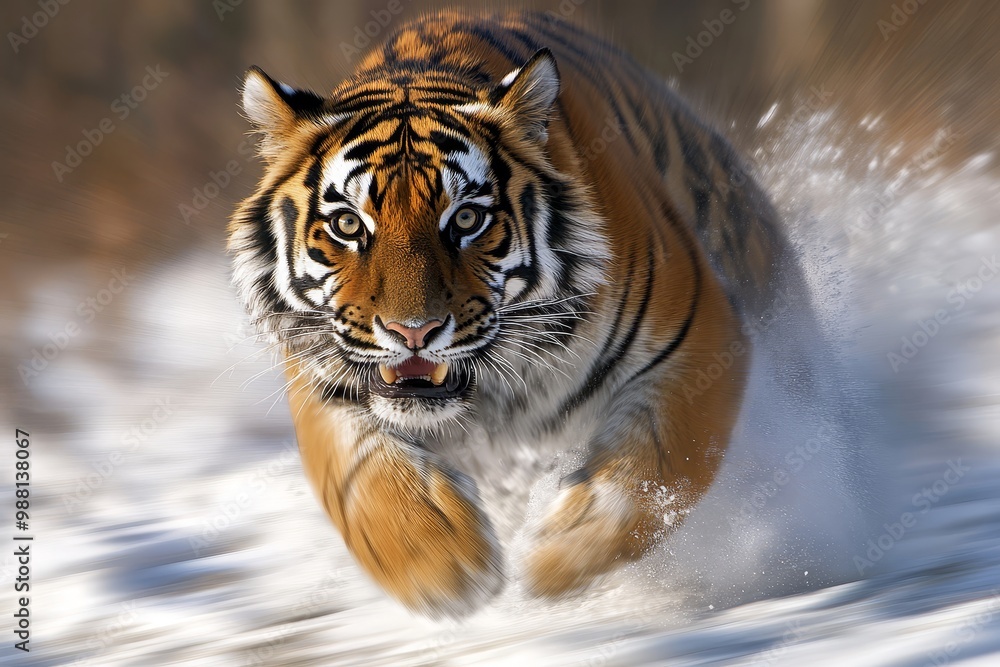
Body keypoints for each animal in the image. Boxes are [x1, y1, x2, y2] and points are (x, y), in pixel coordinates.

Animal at [229, 9, 793, 617]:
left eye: (467, 218)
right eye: (348, 225)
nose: (413, 331)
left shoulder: (696, 340)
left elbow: (654, 472)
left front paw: (552, 561)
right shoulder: (324, 383)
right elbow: (367, 484)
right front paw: (445, 568)